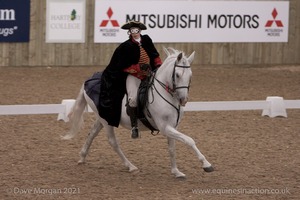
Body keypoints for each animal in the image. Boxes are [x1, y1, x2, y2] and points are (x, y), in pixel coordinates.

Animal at [62, 47, 213, 178]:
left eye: (190, 75)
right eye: (177, 75)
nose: (183, 100)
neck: (167, 95)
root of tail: (88, 81)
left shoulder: (172, 126)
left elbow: (172, 149)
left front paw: (176, 172)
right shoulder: (165, 127)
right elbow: (189, 140)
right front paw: (206, 165)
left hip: (103, 118)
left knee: (92, 133)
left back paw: (82, 157)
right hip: (106, 121)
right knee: (112, 142)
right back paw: (130, 166)